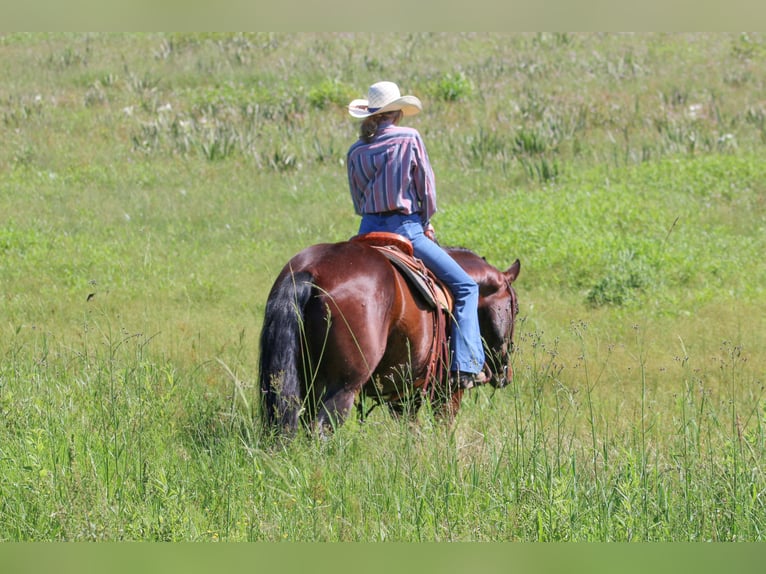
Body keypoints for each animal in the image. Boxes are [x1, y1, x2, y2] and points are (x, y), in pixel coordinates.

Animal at [260, 236, 520, 438]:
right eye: (515, 309)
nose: (506, 374)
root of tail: (311, 271)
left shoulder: (405, 392)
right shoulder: (447, 390)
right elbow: (443, 428)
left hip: (305, 382)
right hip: (343, 386)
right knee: (323, 429)